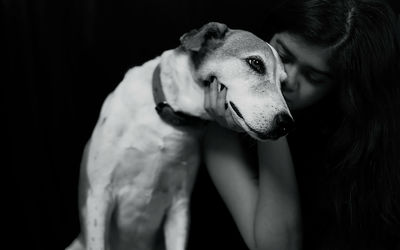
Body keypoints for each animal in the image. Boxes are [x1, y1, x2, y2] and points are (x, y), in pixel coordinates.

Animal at [66, 22, 294, 250]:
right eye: (255, 63)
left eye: (283, 84)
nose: (286, 124)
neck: (167, 119)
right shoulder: (99, 195)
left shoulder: (179, 205)